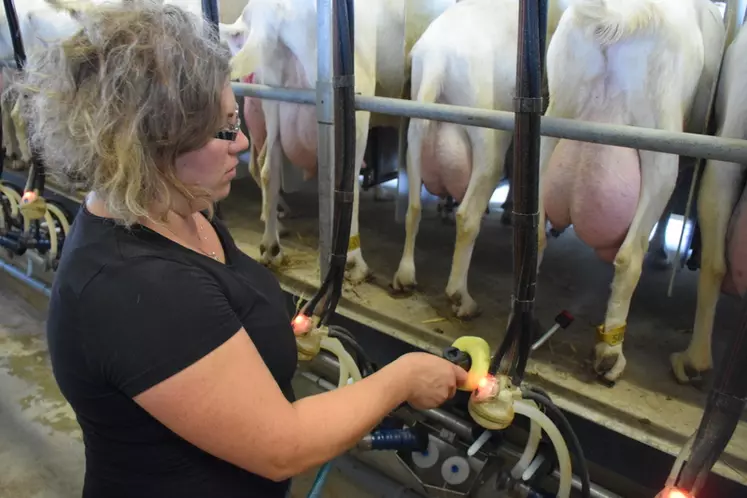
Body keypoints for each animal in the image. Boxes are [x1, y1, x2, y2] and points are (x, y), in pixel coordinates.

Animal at [540, 0, 728, 382]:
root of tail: (617, 16)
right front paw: (661, 254)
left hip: (552, 120)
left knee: (534, 231)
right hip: (661, 140)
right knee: (628, 257)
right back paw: (610, 355)